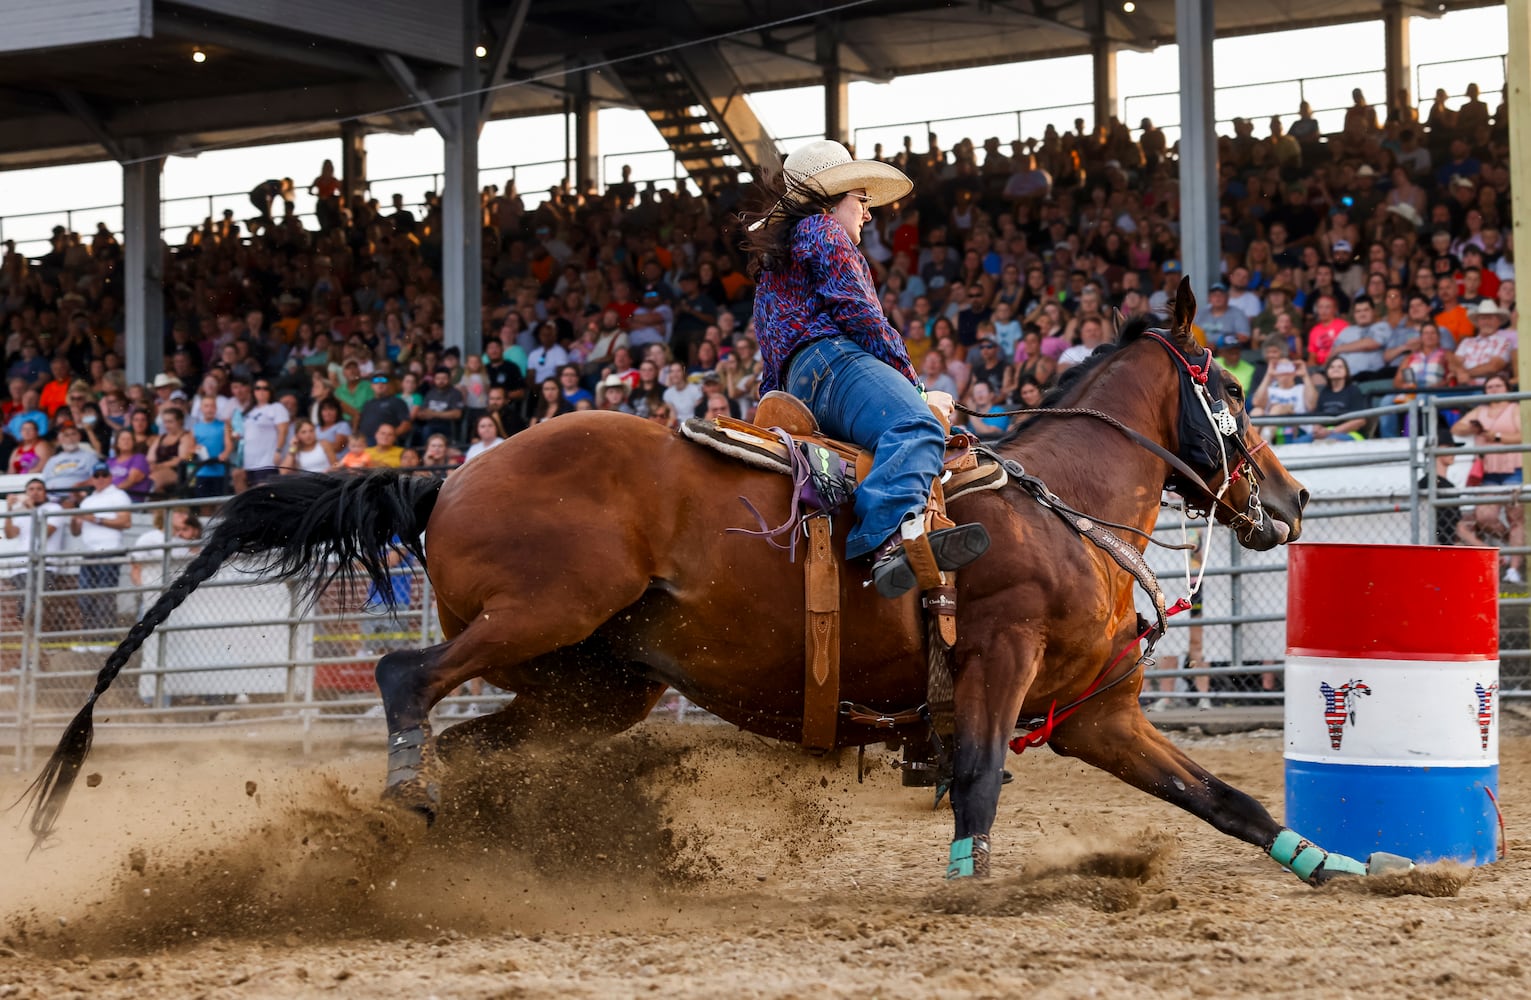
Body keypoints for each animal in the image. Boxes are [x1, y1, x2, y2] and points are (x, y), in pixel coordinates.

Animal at [23, 278, 1408, 882]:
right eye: (1232, 399)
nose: (1289, 503)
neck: (1050, 504)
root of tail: (448, 472)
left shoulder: (1098, 712)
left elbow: (1221, 797)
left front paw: (1331, 859)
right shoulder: (999, 658)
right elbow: (974, 772)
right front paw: (965, 875)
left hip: (595, 682)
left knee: (476, 738)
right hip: (544, 612)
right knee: (408, 676)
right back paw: (413, 794)